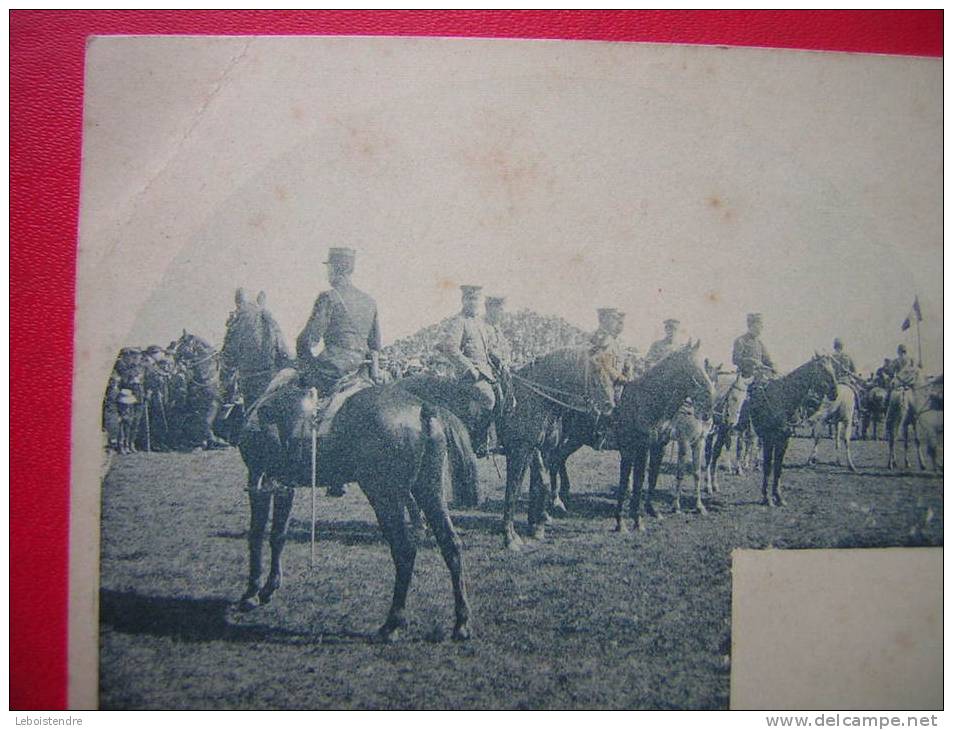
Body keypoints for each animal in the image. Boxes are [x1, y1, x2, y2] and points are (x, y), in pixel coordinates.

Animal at [238, 376, 476, 636]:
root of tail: (423, 409)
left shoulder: (258, 481)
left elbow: (256, 536)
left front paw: (251, 593)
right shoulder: (283, 487)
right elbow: (278, 536)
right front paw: (269, 587)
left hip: (384, 495)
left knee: (404, 549)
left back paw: (392, 622)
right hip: (429, 491)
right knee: (450, 544)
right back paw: (461, 622)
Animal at [608, 342, 712, 528]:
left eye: (705, 366)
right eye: (694, 369)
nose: (709, 405)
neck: (645, 402)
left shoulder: (662, 445)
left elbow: (653, 477)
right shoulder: (639, 447)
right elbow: (634, 479)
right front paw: (627, 521)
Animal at [744, 354, 832, 504]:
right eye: (823, 369)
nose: (835, 393)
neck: (783, 398)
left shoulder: (784, 438)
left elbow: (778, 467)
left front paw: (778, 496)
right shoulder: (769, 438)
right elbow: (768, 466)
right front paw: (766, 497)